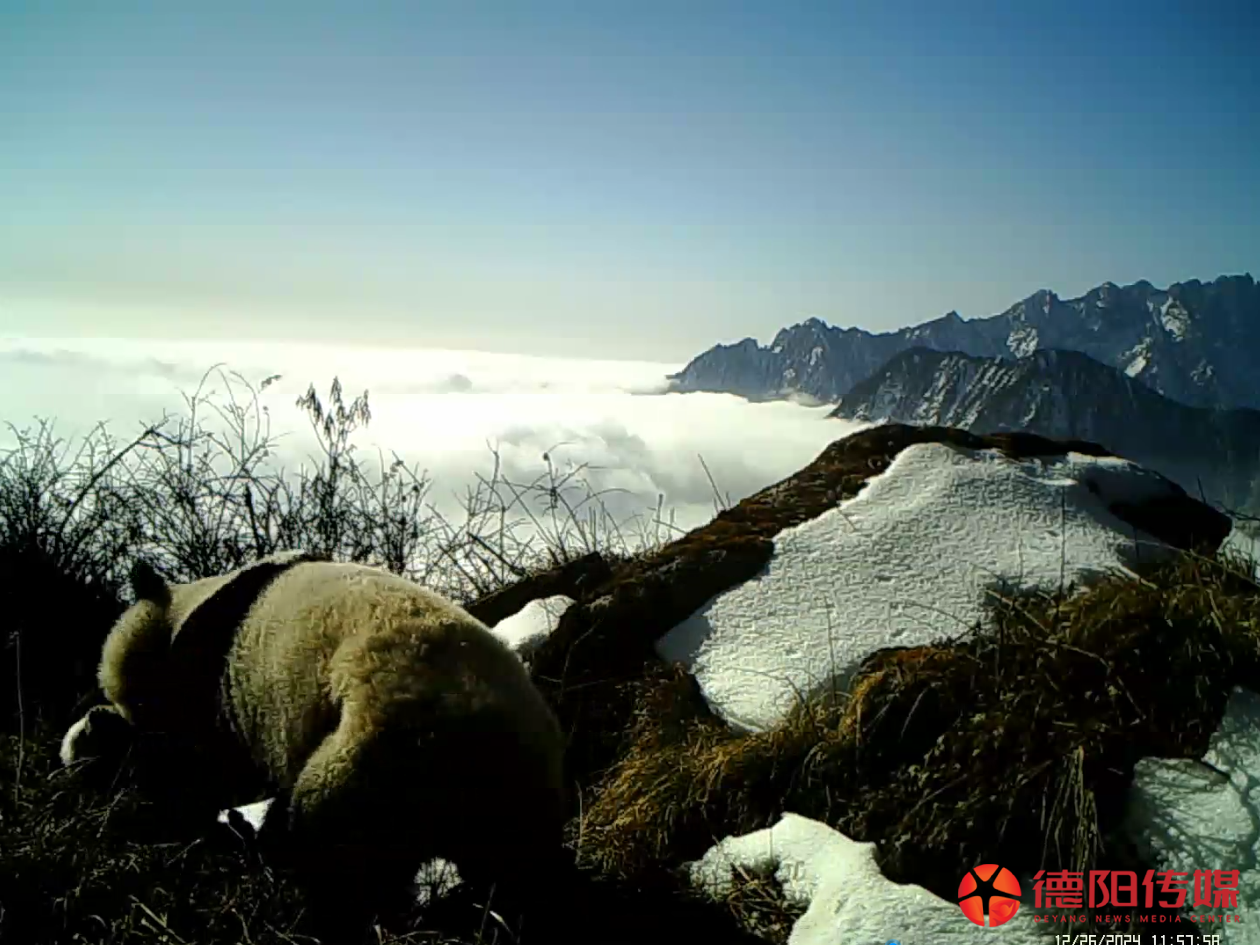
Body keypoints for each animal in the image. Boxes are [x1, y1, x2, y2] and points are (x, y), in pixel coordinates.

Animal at [61, 551, 570, 940]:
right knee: (516, 872)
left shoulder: (209, 692)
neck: (183, 612)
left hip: (367, 757)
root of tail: (471, 739)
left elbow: (191, 769)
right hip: (521, 794)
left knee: (334, 856)